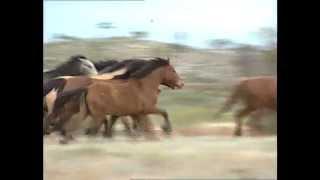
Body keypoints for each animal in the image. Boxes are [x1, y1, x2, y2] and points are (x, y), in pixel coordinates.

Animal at [46, 57, 184, 143]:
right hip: (86, 112)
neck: (142, 85)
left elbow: (138, 124)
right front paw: (166, 130)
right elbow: (163, 113)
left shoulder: (132, 112)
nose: (181, 84)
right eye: (173, 70)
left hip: (82, 111)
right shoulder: (146, 109)